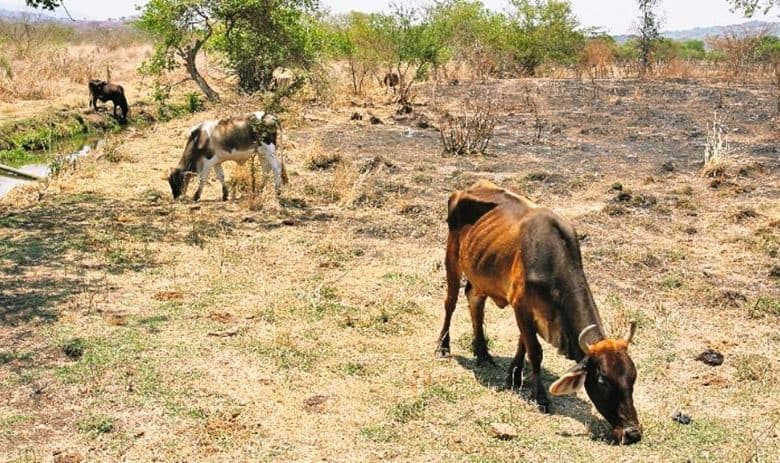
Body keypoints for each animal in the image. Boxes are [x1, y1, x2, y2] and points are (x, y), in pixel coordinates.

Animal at [436, 180, 644, 446]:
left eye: (632, 378)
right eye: (602, 380)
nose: (632, 432)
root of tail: (467, 188)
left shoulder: (530, 311)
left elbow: (523, 343)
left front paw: (514, 375)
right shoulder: (521, 305)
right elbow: (534, 351)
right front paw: (541, 396)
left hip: (480, 273)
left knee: (475, 302)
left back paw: (482, 353)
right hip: (452, 258)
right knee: (450, 303)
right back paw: (443, 346)